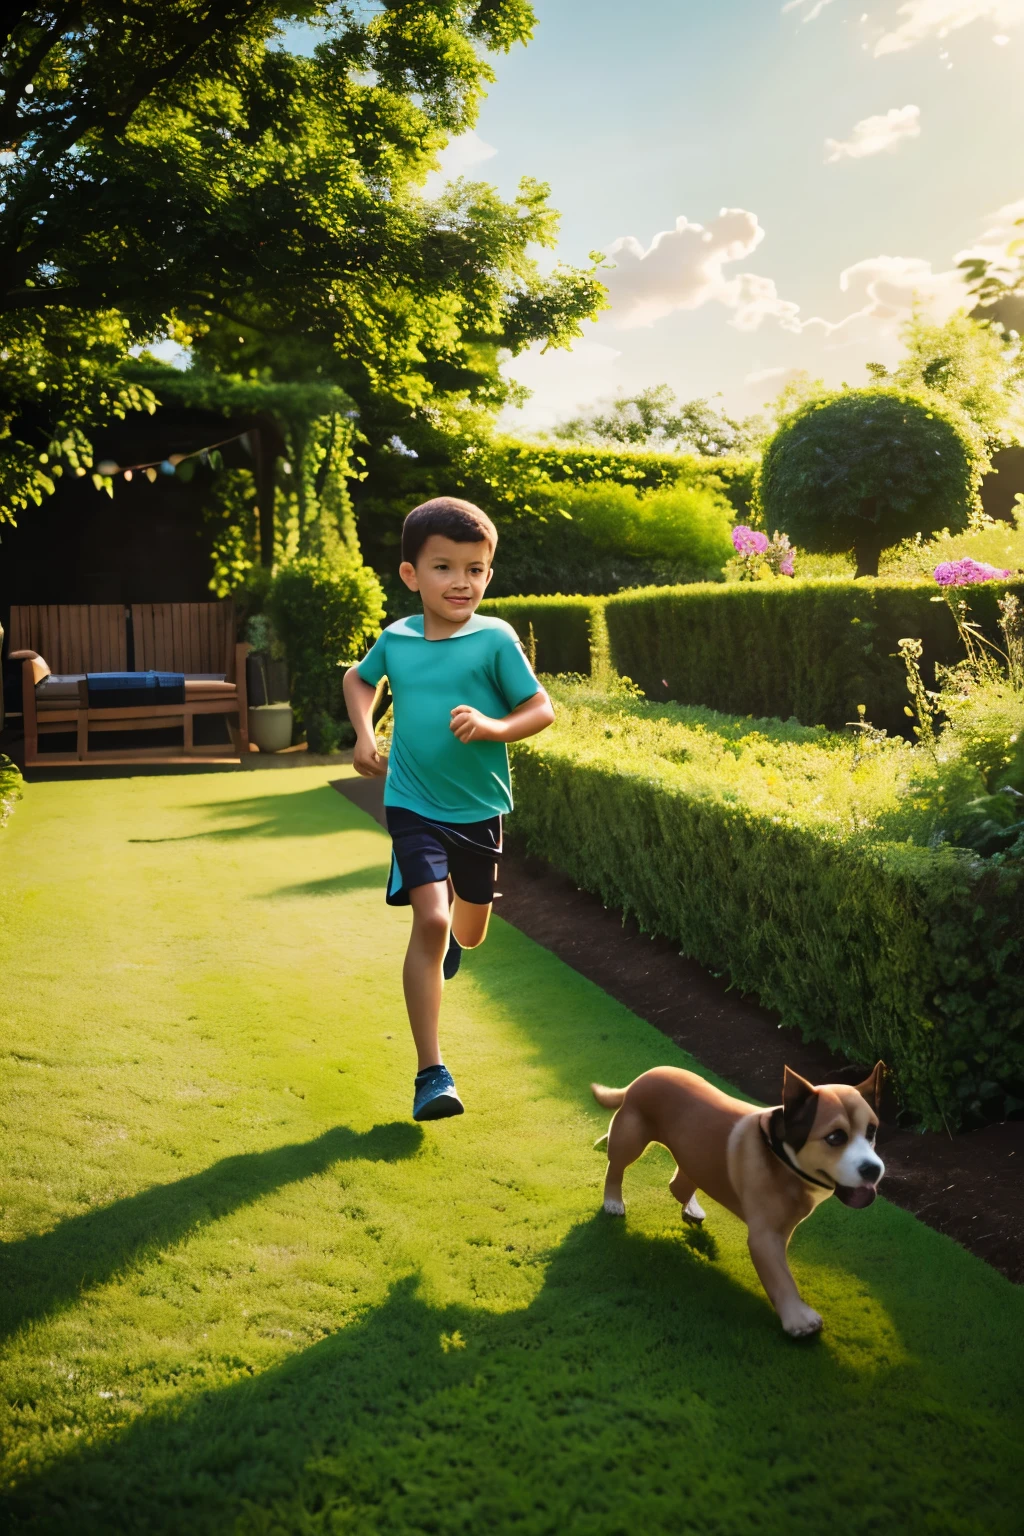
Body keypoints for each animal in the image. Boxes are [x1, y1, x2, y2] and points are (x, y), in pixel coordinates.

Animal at [592, 1062, 890, 1339]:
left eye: (872, 1131)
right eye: (835, 1137)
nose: (873, 1169)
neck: (779, 1154)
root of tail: (644, 1076)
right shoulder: (764, 1238)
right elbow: (781, 1277)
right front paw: (799, 1319)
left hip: (693, 1155)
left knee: (678, 1185)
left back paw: (691, 1206)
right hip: (630, 1138)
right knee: (616, 1166)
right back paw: (613, 1199)